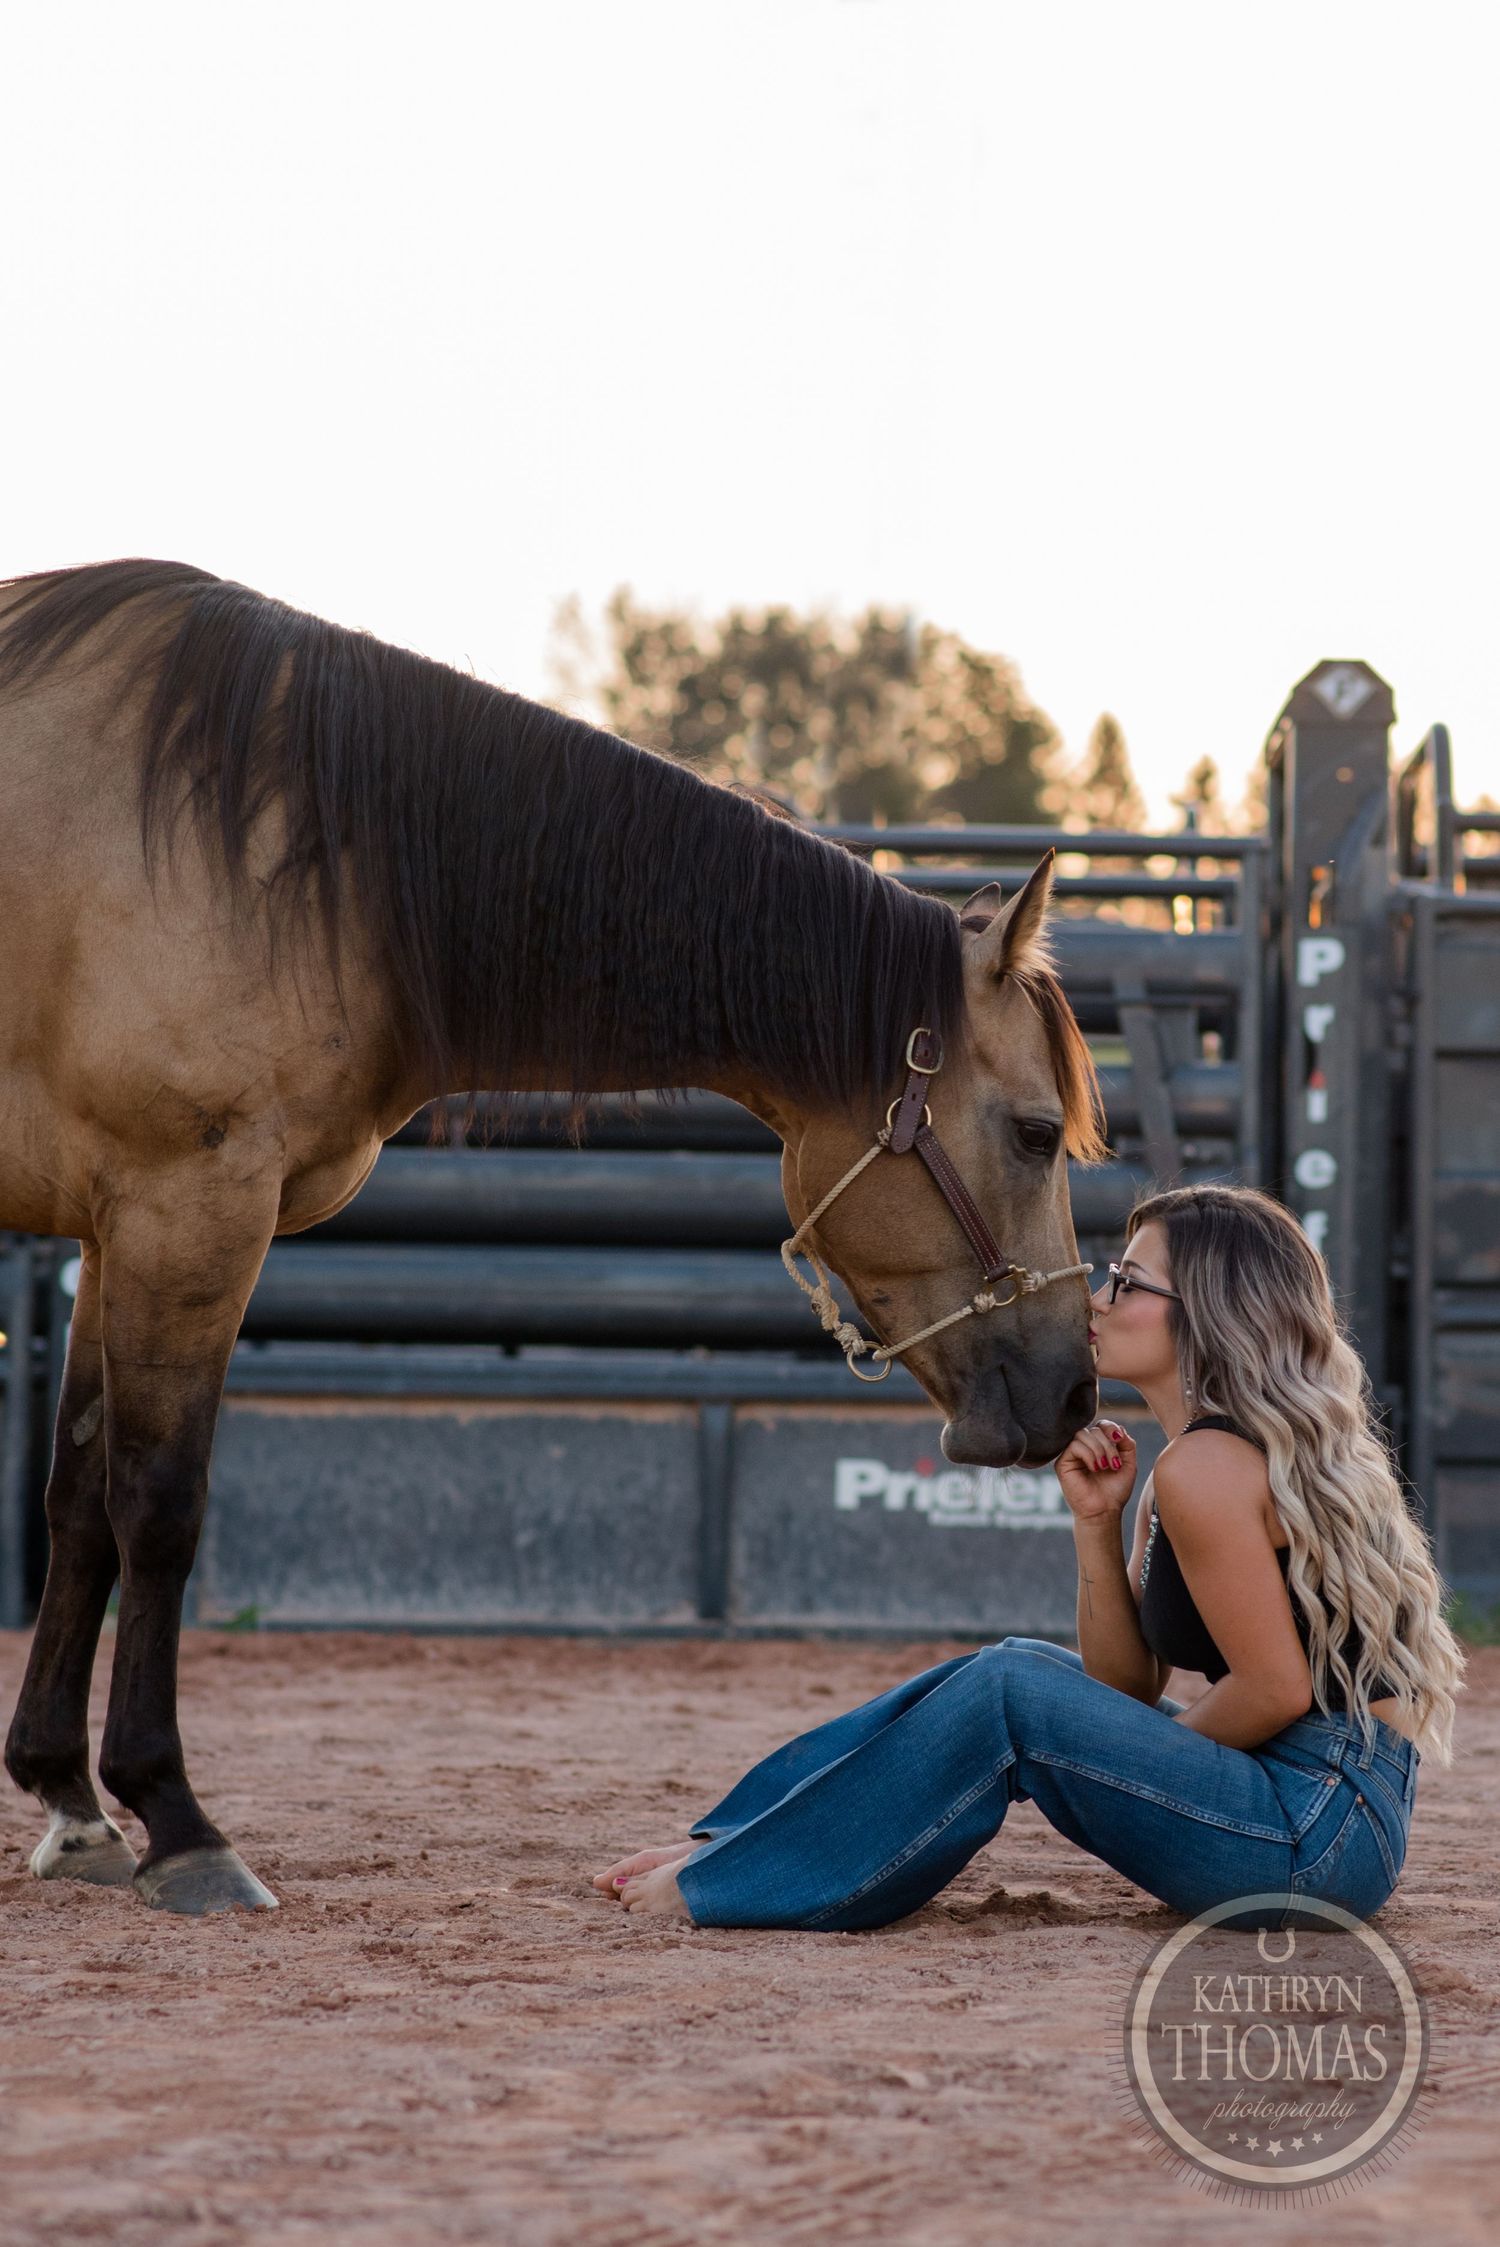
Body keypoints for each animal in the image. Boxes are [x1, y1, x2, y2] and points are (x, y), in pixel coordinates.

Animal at [0, 560, 1105, 1916]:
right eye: (1039, 1133)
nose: (1074, 1391)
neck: (302, 859)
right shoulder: (189, 1207)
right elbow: (158, 1502)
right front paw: (173, 1817)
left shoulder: (117, 1232)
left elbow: (78, 1500)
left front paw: (69, 1798)